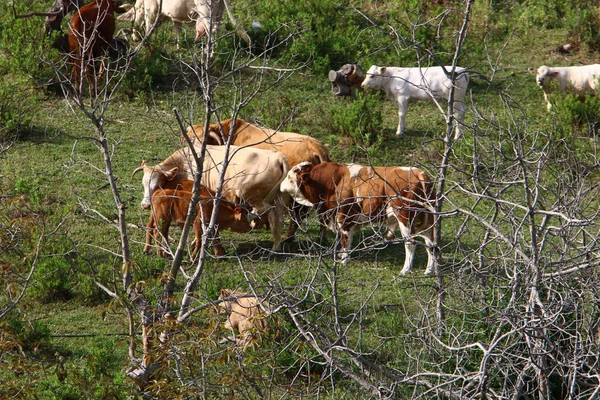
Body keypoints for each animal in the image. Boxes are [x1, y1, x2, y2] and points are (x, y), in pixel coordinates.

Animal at [118, 0, 250, 44]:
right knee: (217, 28)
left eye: (132, 19)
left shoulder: (150, 9)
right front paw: (179, 47)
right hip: (219, 13)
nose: (134, 38)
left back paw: (210, 52)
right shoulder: (176, 17)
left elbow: (149, 26)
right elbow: (178, 32)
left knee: (212, 29)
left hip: (206, 11)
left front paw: (145, 41)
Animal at [132, 144, 290, 250]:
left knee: (262, 211)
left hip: (252, 196)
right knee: (277, 219)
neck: (185, 162)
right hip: (279, 200)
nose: (145, 205)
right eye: (143, 183)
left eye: (157, 184)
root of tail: (278, 157)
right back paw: (275, 247)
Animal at [278, 161, 438, 274]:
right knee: (430, 243)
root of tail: (420, 174)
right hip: (427, 220)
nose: (280, 185)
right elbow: (348, 242)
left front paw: (343, 262)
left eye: (291, 175)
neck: (333, 181)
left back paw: (405, 270)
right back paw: (429, 270)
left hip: (405, 218)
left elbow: (345, 241)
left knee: (411, 243)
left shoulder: (344, 218)